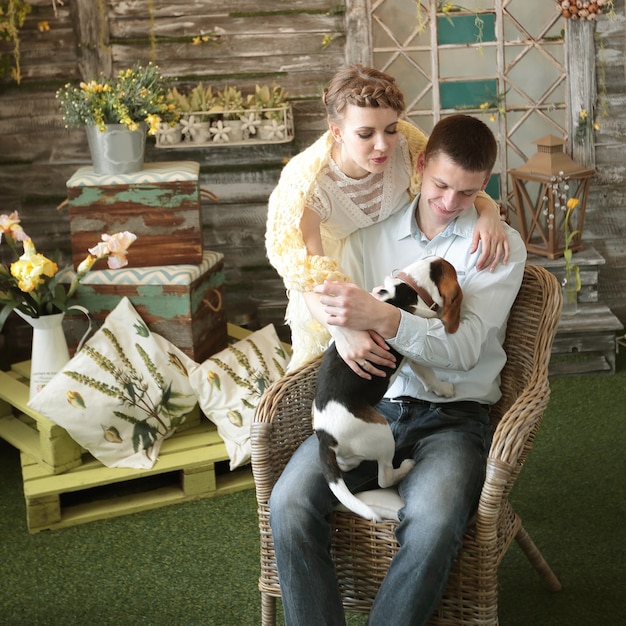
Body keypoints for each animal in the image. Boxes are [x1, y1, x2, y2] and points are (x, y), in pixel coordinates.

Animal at [314, 256, 460, 520]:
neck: (410, 286)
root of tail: (326, 436)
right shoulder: (414, 343)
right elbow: (429, 374)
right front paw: (444, 389)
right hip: (382, 433)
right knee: (384, 478)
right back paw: (405, 467)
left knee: (350, 465)